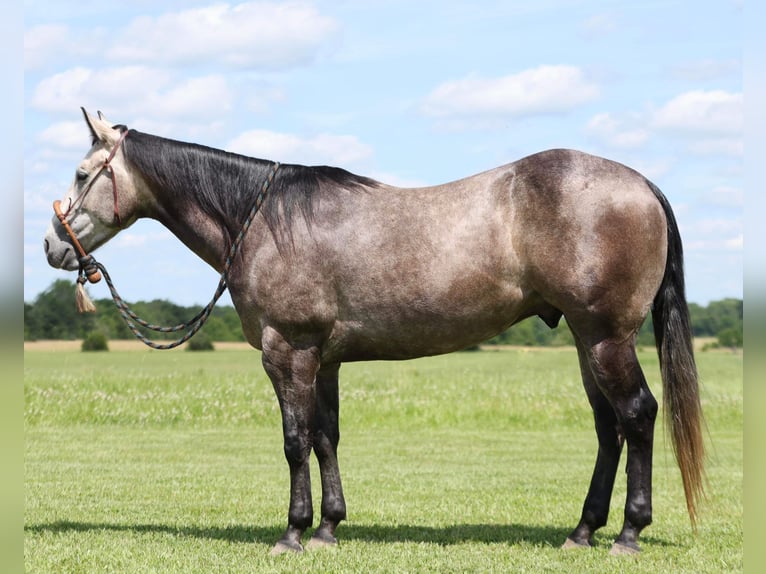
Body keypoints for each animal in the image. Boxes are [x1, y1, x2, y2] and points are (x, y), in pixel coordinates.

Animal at [43, 108, 708, 560]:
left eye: (81, 173)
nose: (53, 245)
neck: (265, 220)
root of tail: (641, 184)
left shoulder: (287, 352)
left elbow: (294, 441)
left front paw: (293, 532)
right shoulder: (324, 359)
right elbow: (325, 438)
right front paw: (329, 527)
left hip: (606, 338)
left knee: (637, 416)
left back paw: (627, 533)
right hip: (584, 340)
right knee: (607, 428)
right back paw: (582, 531)